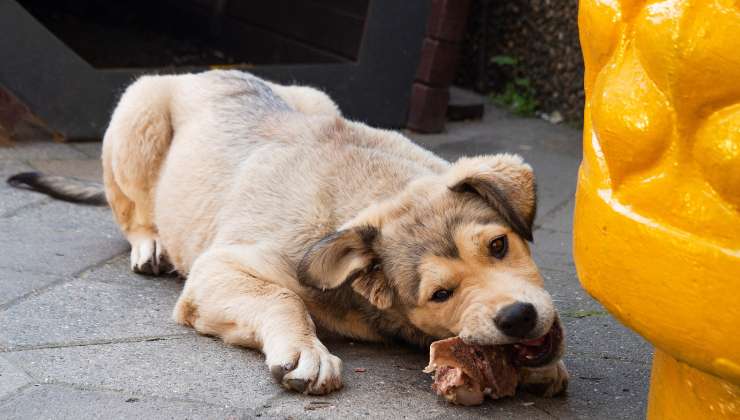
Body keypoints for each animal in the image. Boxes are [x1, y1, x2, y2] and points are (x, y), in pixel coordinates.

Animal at [7, 69, 568, 398]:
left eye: (499, 245)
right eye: (440, 294)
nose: (519, 317)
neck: (379, 189)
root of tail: (206, 68)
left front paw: (539, 367)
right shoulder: (220, 268)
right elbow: (282, 296)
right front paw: (305, 352)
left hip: (317, 97)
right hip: (136, 112)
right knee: (133, 212)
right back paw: (151, 243)